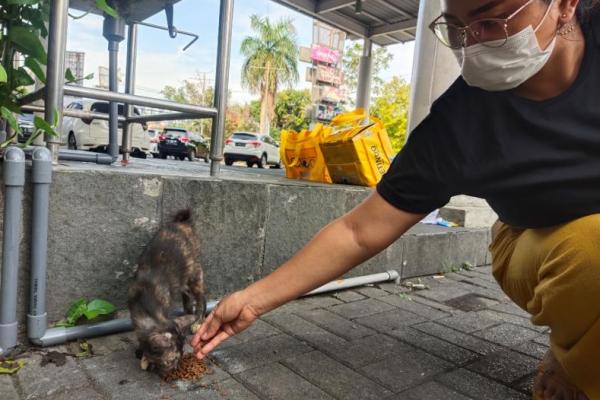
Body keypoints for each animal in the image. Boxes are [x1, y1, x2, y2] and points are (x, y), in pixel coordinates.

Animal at [127, 209, 206, 376]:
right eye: (172, 359)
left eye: (182, 355)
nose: (175, 368)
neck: (146, 307)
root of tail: (183, 223)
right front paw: (141, 352)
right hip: (183, 281)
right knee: (188, 299)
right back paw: (190, 315)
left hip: (194, 274)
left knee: (201, 298)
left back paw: (198, 321)